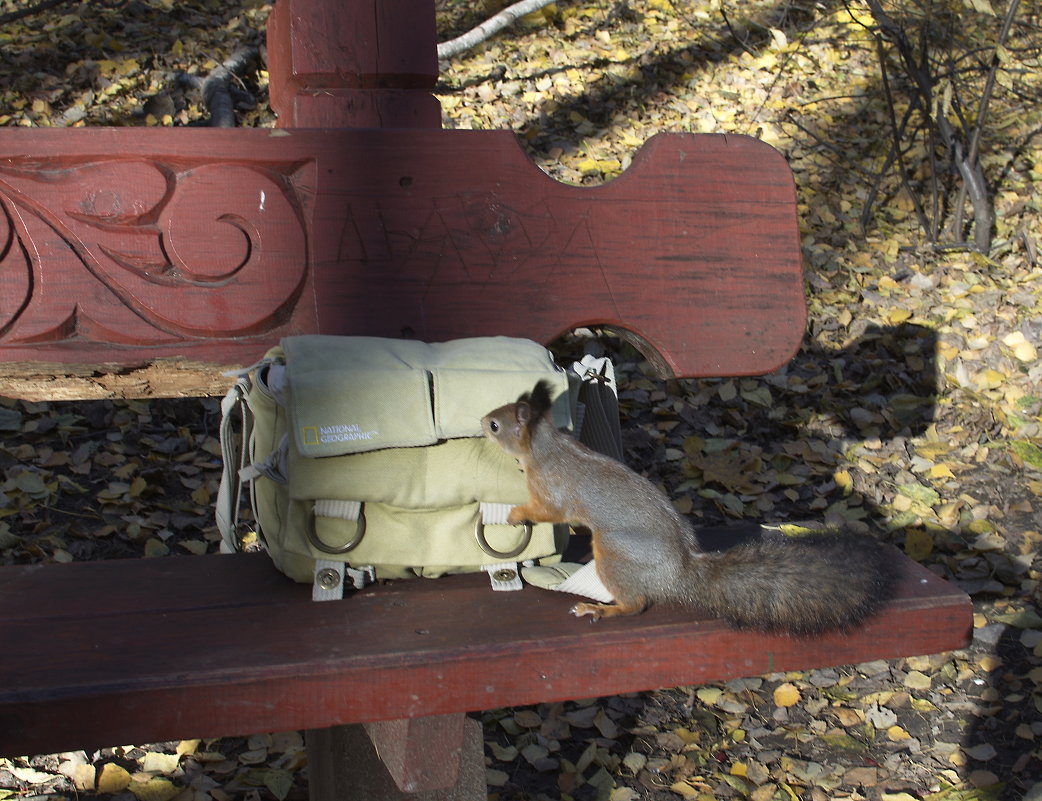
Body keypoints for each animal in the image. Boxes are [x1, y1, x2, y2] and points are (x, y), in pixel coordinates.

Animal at [479, 379, 896, 633]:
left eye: (496, 425)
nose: (481, 421)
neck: (545, 446)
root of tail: (677, 575)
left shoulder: (552, 490)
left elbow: (548, 511)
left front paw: (516, 514)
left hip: (614, 553)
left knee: (636, 604)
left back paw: (601, 608)